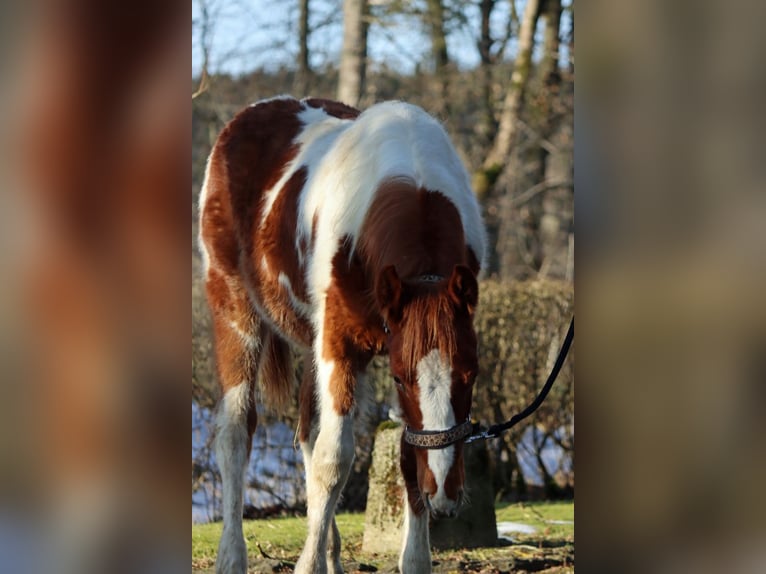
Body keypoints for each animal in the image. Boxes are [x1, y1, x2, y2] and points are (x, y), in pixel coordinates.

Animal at [198, 97, 486, 572]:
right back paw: (232, 558)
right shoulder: (340, 345)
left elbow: (402, 456)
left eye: (471, 374)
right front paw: (308, 565)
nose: (444, 493)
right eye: (401, 378)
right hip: (236, 312)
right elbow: (334, 461)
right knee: (237, 432)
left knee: (308, 433)